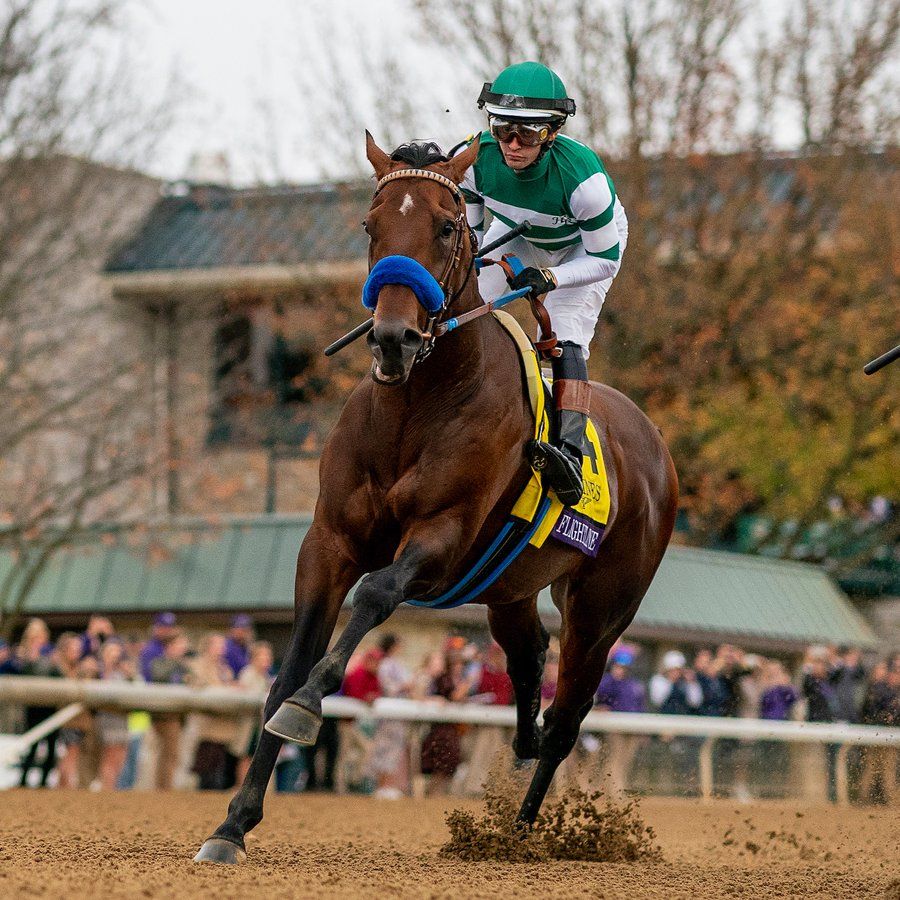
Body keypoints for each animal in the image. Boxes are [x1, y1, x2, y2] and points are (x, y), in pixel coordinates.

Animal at [194, 133, 678, 864]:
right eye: (370, 226)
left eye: (447, 227)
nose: (393, 338)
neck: (415, 406)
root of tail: (655, 447)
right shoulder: (328, 542)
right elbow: (287, 667)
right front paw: (232, 825)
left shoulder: (441, 537)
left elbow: (372, 597)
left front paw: (308, 707)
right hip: (509, 587)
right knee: (530, 662)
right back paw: (519, 756)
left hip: (603, 609)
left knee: (567, 718)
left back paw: (521, 832)